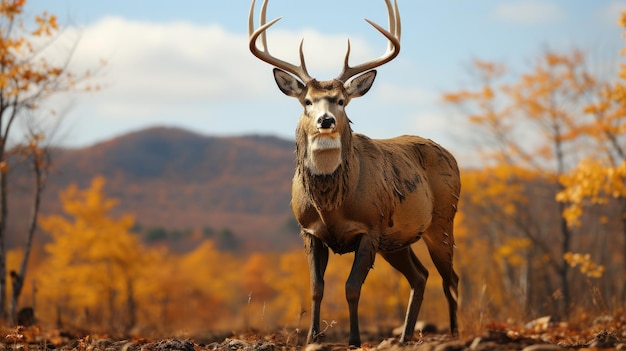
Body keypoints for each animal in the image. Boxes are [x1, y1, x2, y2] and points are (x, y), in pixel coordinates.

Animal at [249, 0, 458, 346]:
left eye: (341, 101)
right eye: (307, 101)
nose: (326, 120)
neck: (332, 206)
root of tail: (450, 154)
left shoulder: (369, 229)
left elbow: (351, 288)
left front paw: (355, 339)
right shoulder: (309, 231)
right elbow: (316, 288)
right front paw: (312, 337)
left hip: (442, 220)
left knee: (449, 277)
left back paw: (455, 333)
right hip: (397, 240)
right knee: (420, 276)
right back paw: (403, 337)